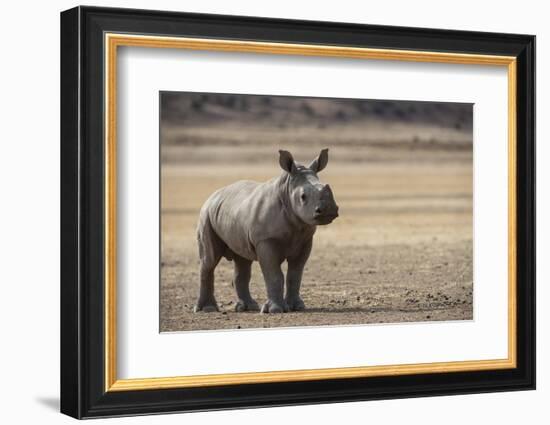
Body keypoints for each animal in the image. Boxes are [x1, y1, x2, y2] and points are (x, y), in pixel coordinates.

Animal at [194, 148, 340, 312]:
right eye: (303, 196)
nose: (329, 210)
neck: (286, 190)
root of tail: (213, 195)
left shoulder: (305, 240)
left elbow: (295, 274)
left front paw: (297, 307)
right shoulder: (265, 240)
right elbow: (274, 274)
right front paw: (275, 310)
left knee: (242, 261)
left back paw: (248, 307)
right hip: (206, 214)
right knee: (209, 261)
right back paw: (207, 309)